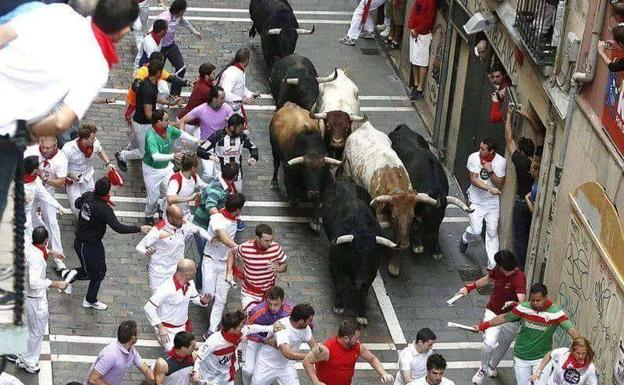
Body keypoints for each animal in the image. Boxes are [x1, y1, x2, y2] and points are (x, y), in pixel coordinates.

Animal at [268, 100, 338, 230]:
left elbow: (318, 203)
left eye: (322, 172)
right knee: (276, 164)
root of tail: (289, 104)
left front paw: (316, 222)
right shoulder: (288, 172)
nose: (313, 193)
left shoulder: (321, 185)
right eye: (306, 171)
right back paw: (274, 182)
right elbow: (293, 198)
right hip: (274, 149)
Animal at [322, 180, 394, 324]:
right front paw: (339, 305)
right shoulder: (333, 264)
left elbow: (363, 292)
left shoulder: (371, 272)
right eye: (355, 253)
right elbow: (339, 284)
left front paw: (361, 314)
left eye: (373, 255)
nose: (361, 277)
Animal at [390, 124, 472, 260]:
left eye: (442, 216)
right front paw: (417, 245)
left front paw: (436, 249)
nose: (431, 234)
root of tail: (403, 127)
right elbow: (415, 222)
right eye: (427, 213)